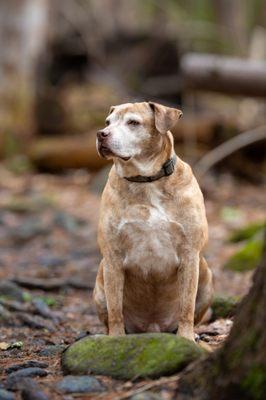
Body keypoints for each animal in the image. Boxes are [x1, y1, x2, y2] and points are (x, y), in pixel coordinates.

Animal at [92, 101, 213, 340]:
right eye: (108, 123)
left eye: (133, 122)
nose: (102, 134)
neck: (146, 181)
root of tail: (153, 327)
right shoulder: (112, 256)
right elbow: (115, 308)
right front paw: (116, 340)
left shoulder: (190, 254)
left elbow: (187, 306)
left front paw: (186, 338)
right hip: (101, 275)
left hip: (205, 273)